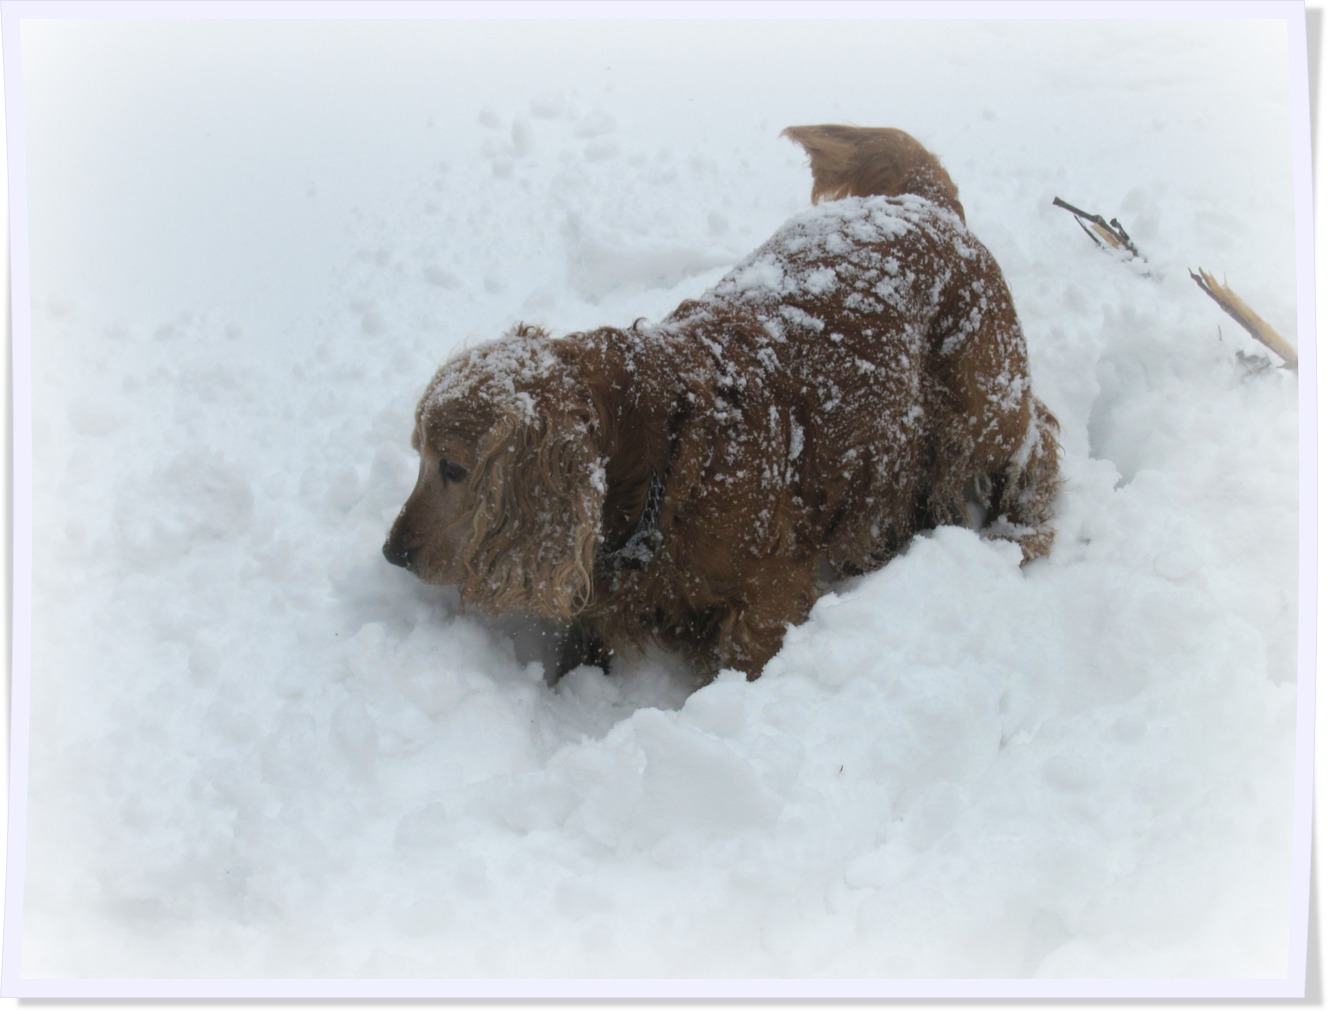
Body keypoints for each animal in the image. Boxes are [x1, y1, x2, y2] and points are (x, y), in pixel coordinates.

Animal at [383, 125, 1060, 683]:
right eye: (417, 456)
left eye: (452, 467)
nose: (391, 553)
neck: (661, 451)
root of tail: (922, 202)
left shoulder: (768, 594)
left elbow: (741, 655)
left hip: (982, 406)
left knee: (1039, 437)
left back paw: (1021, 530)